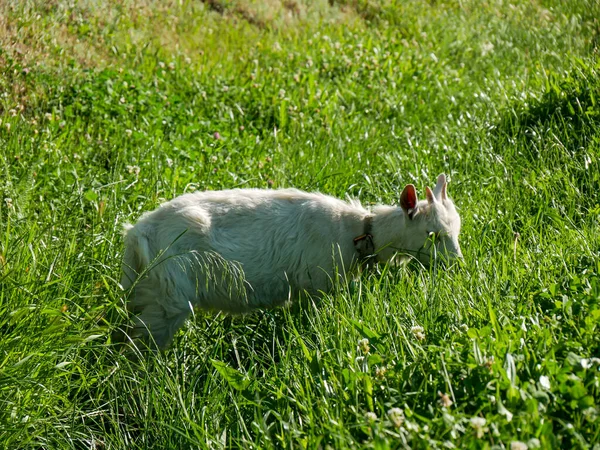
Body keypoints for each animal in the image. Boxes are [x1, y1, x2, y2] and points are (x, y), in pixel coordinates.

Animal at [119, 173, 462, 348]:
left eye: (456, 229)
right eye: (432, 234)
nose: (457, 265)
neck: (359, 231)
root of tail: (139, 232)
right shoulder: (317, 283)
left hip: (146, 289)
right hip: (170, 297)